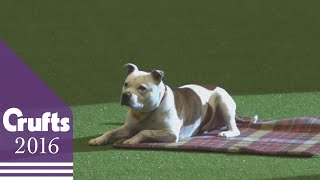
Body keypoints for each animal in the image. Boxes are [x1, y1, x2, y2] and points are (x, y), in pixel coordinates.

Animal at [89, 63, 245, 145]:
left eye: (142, 88)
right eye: (125, 84)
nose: (126, 95)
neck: (147, 112)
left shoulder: (171, 133)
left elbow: (145, 131)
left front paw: (130, 140)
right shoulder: (128, 127)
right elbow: (110, 131)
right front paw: (98, 139)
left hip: (223, 102)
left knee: (235, 128)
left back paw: (227, 133)